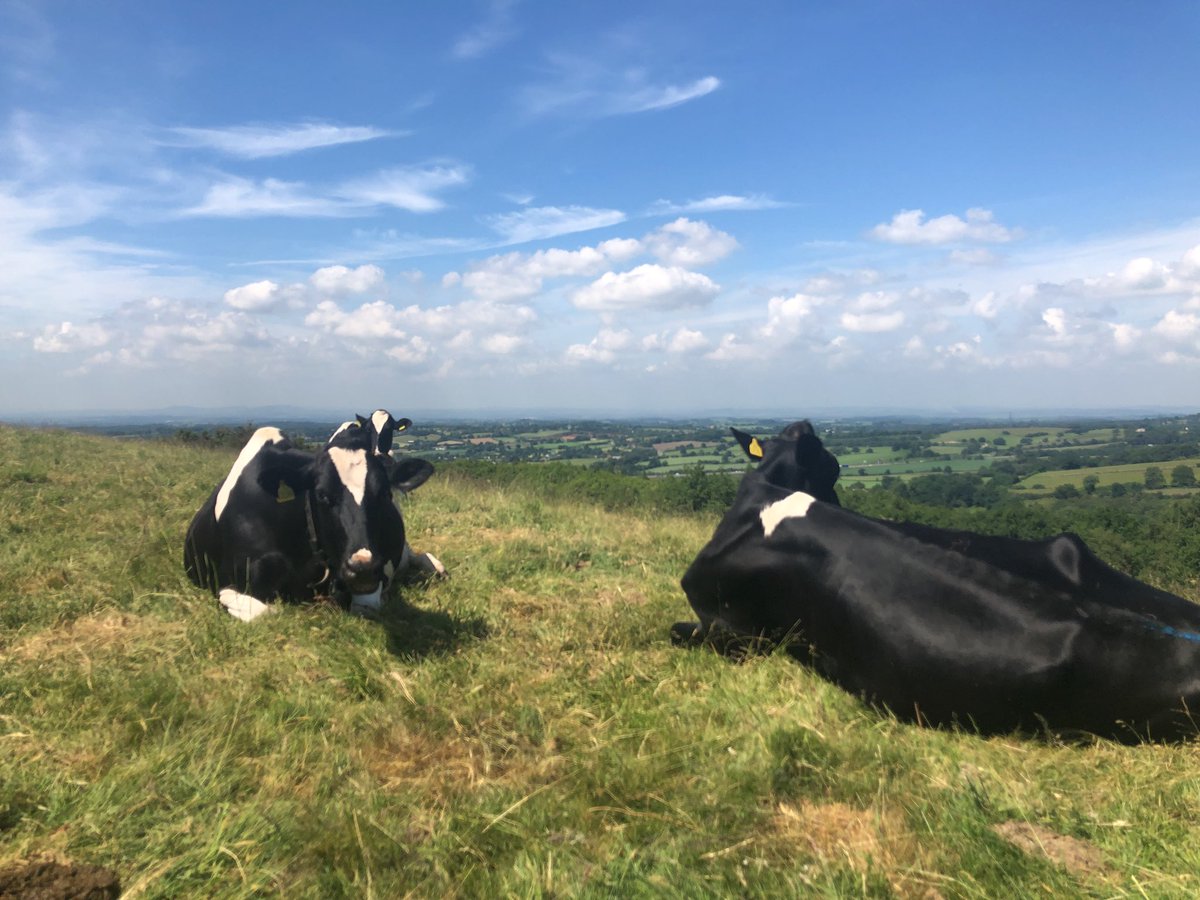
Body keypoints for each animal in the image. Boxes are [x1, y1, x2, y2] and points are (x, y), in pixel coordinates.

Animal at [184, 425, 434, 621]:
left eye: (384, 493)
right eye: (322, 495)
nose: (363, 568)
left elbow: (365, 606)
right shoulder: (228, 582)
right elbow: (267, 613)